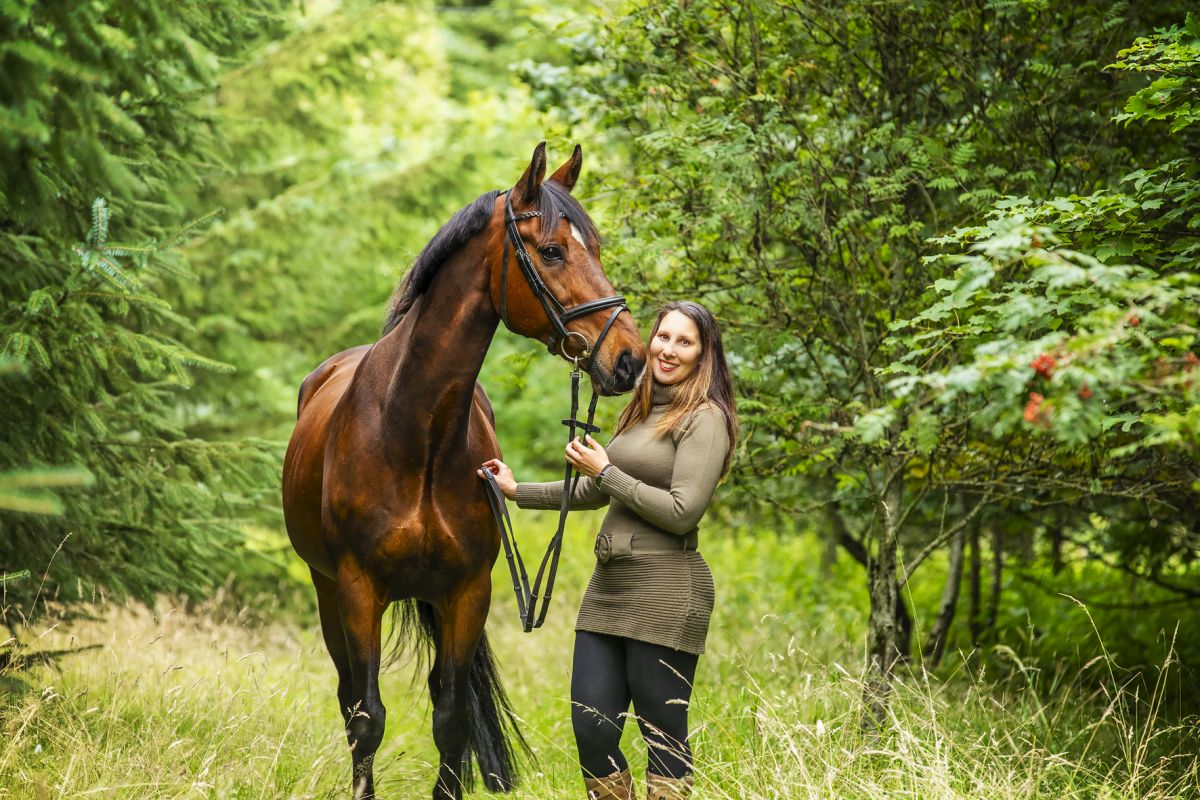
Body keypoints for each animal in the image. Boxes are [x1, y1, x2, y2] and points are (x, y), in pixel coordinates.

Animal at [279, 143, 643, 800]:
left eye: (597, 248)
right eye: (553, 250)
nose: (628, 358)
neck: (416, 431)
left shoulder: (468, 591)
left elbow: (451, 718)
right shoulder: (357, 590)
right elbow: (368, 719)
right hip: (326, 593)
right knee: (349, 701)